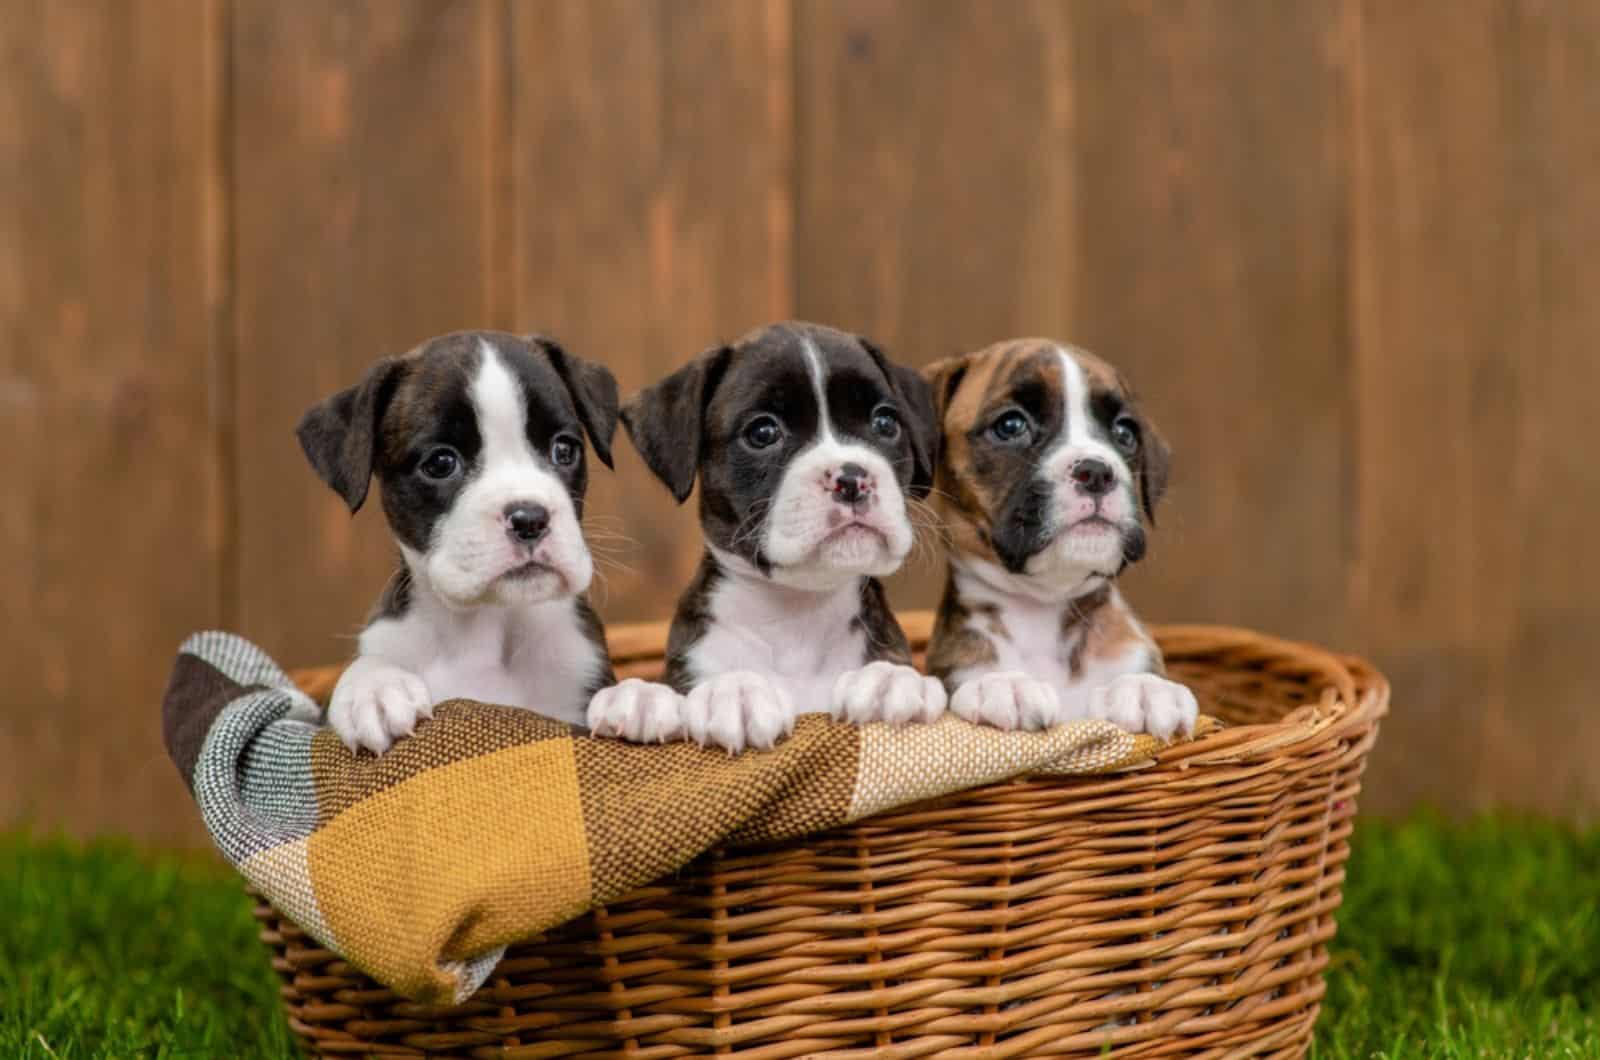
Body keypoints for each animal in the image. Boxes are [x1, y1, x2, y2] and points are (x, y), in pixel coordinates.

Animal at [297, 333, 620, 755]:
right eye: (440, 463)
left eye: (564, 450)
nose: (529, 518)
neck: (486, 629)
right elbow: (366, 666)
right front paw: (375, 689)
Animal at [592, 323, 947, 755]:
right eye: (763, 432)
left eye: (884, 423)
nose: (851, 478)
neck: (796, 615)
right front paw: (733, 692)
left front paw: (886, 681)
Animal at [921, 337, 1196, 739]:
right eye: (1011, 425)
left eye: (1125, 433)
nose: (1096, 472)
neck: (1043, 610)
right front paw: (1005, 684)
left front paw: (1146, 690)